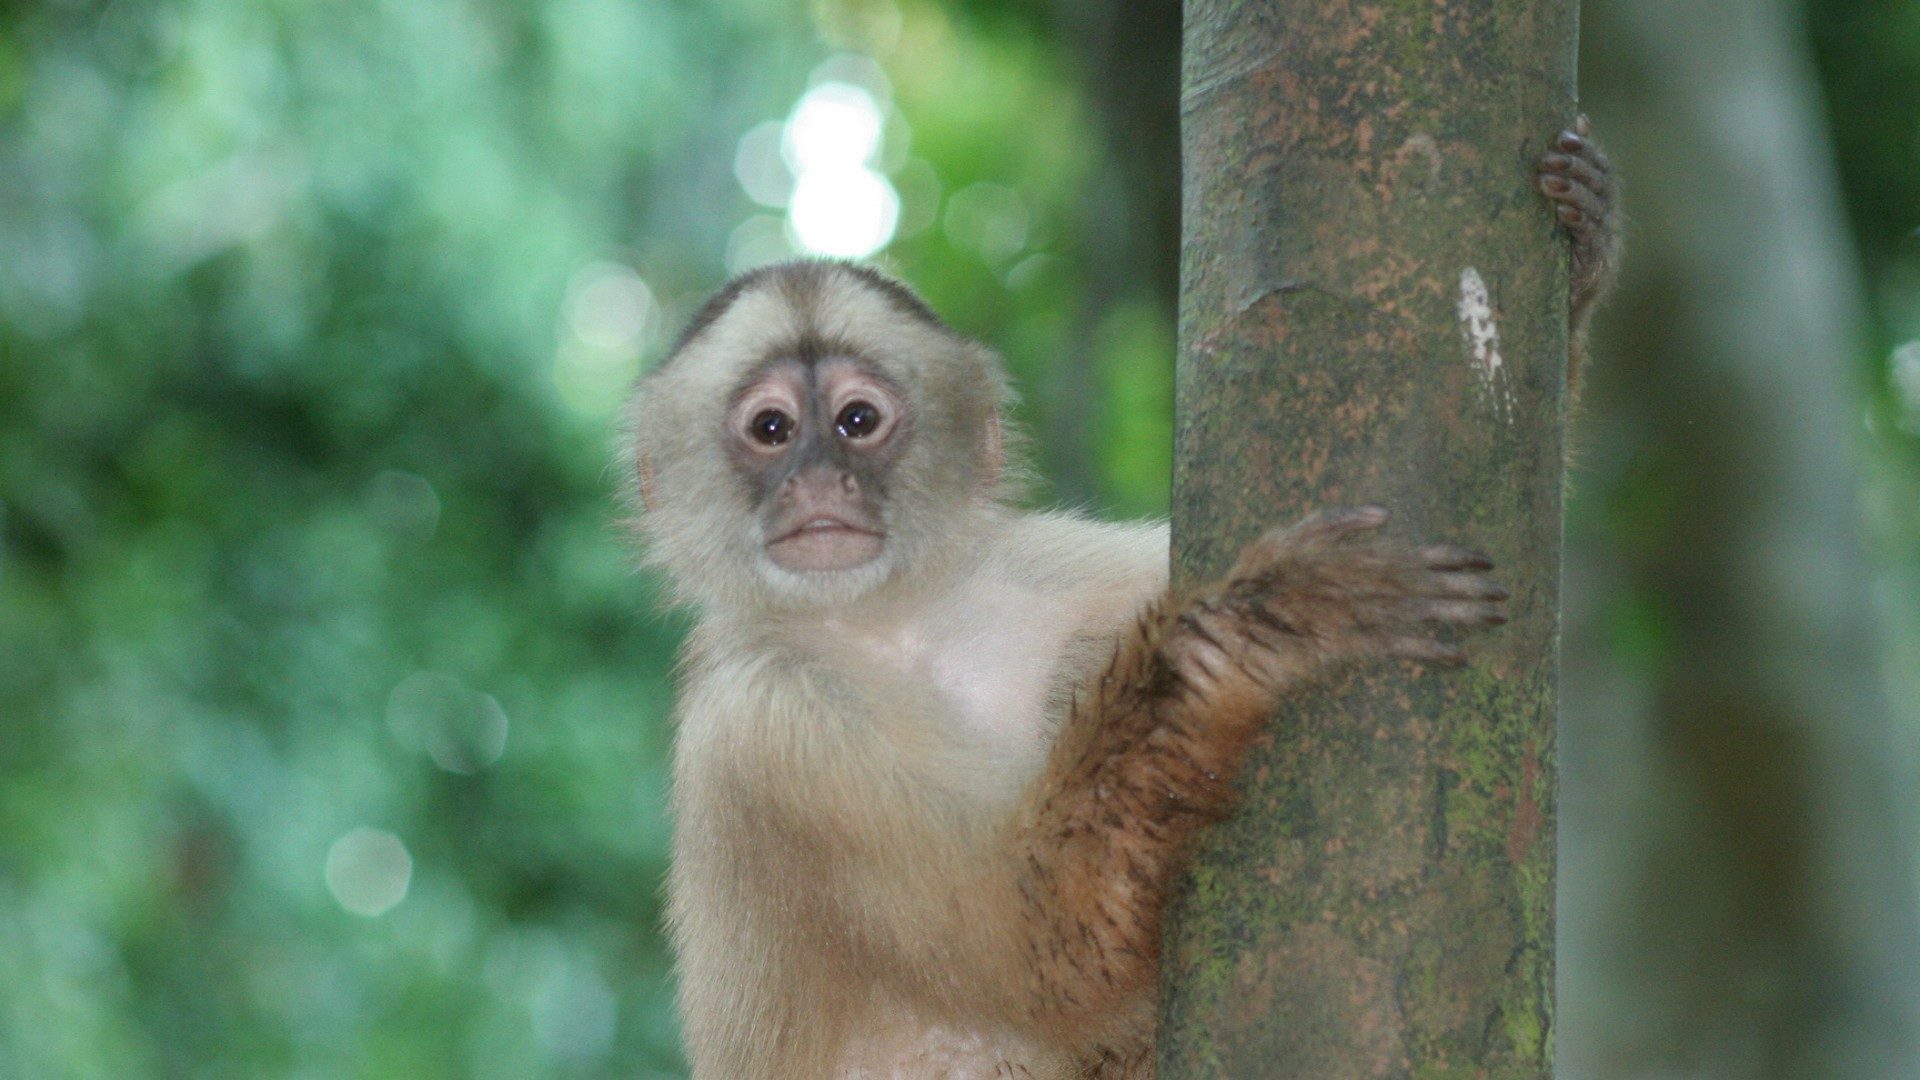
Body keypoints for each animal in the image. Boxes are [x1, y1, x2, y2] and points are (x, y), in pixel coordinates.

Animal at [629, 122, 1620, 1068]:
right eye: (771, 429)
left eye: (857, 421)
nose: (819, 485)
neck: (898, 623)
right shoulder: (762, 722)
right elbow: (1039, 942)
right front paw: (1263, 622)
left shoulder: (1042, 568)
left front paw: (1582, 264)